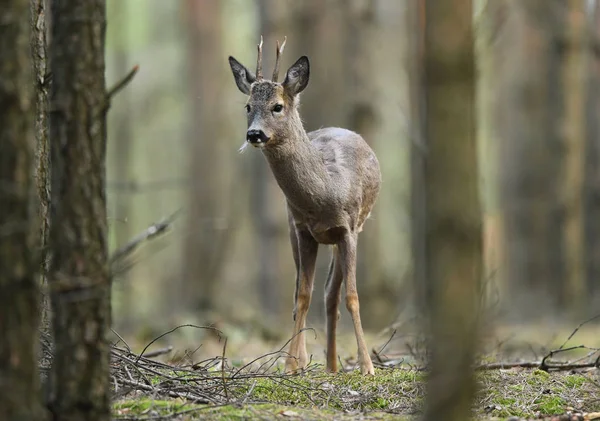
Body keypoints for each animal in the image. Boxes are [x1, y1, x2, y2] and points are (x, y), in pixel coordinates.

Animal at [227, 37, 382, 376]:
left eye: (278, 106)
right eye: (247, 107)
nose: (254, 133)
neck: (324, 195)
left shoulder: (348, 229)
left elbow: (352, 296)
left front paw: (367, 366)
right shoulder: (303, 231)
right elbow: (302, 295)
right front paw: (291, 363)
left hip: (354, 228)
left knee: (332, 294)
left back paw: (335, 364)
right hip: (292, 229)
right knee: (314, 292)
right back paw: (324, 363)